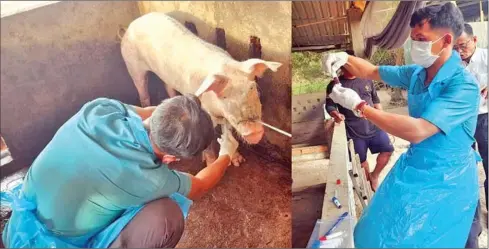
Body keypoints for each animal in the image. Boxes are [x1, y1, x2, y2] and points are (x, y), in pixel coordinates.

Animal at [119, 12, 282, 166]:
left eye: (252, 87)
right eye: (224, 96)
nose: (254, 131)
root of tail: (132, 24)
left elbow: (227, 131)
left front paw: (238, 161)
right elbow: (208, 144)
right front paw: (210, 162)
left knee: (168, 86)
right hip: (132, 65)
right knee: (142, 91)